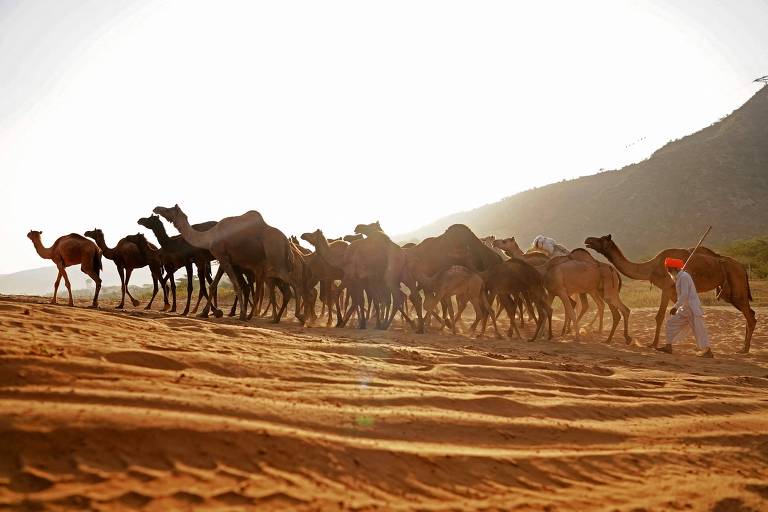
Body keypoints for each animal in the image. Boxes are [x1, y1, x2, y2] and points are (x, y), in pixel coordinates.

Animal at [584, 235, 756, 352]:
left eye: (601, 239)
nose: (588, 240)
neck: (651, 268)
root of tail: (742, 267)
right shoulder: (674, 292)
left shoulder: (666, 287)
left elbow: (659, 316)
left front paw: (653, 344)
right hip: (729, 291)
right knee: (751, 313)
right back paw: (743, 347)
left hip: (737, 286)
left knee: (749, 315)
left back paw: (745, 349)